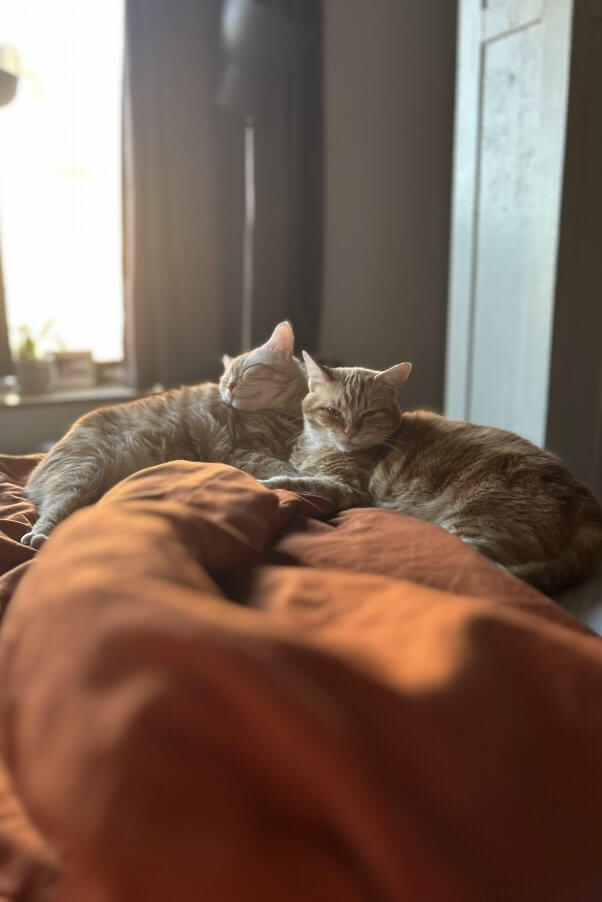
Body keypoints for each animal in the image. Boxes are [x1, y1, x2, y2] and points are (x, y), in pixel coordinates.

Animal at [22, 324, 304, 552]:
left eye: (248, 370)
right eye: (225, 378)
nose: (230, 387)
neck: (283, 415)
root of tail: (34, 474)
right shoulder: (241, 452)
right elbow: (283, 468)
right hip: (79, 473)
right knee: (50, 511)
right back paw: (39, 535)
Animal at [262, 352, 600, 592]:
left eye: (369, 413)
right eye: (332, 411)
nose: (349, 433)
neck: (319, 448)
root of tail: (582, 495)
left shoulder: (348, 487)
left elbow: (298, 482)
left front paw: (262, 480)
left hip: (473, 525)